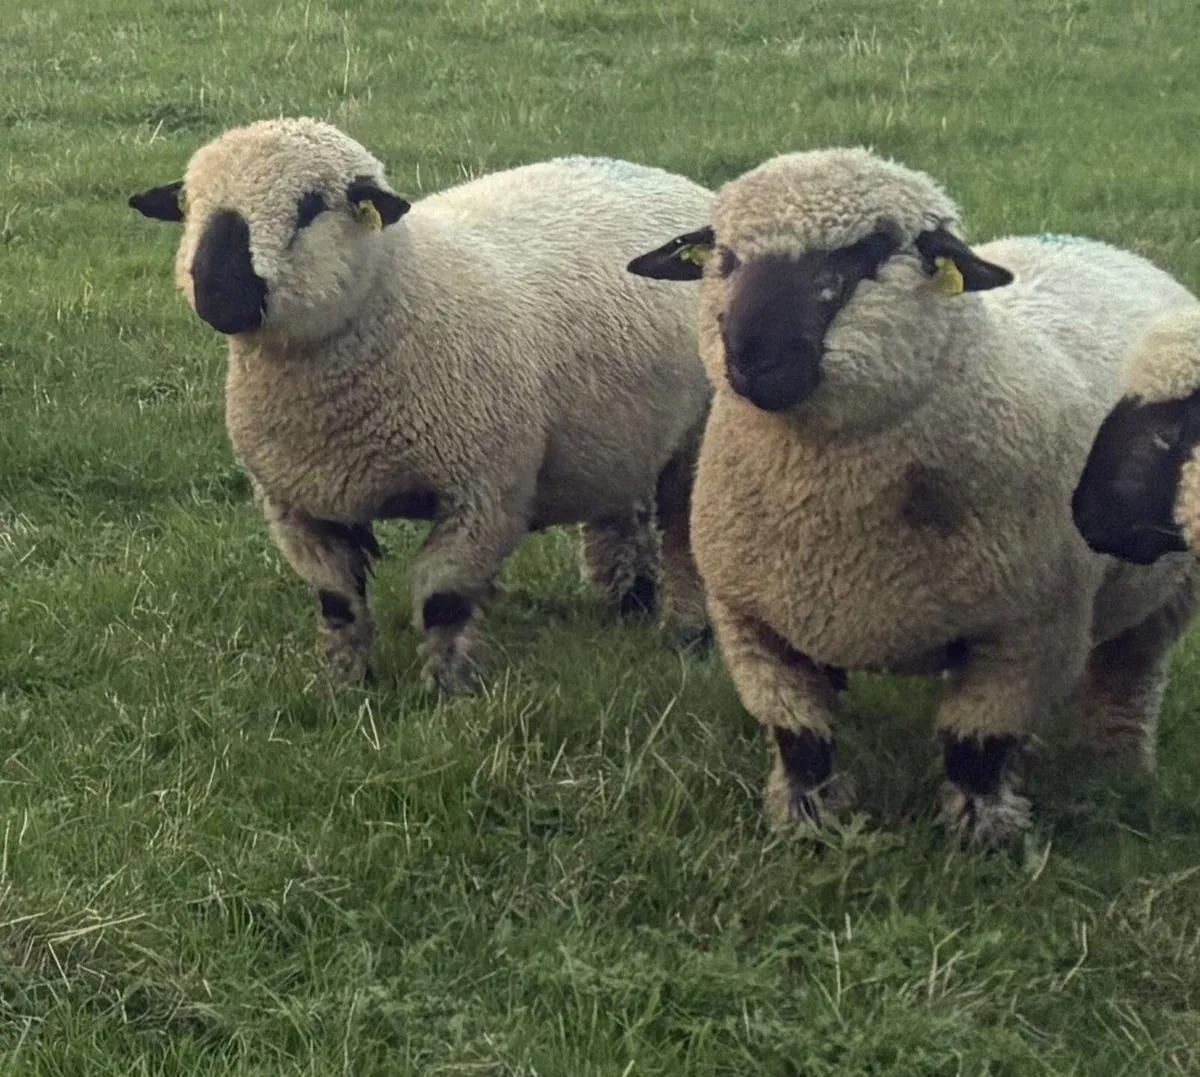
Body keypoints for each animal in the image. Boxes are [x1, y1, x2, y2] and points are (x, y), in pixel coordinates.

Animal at [128, 118, 713, 695]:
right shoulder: (296, 503)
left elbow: (443, 602)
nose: (217, 291)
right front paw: (345, 688)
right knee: (622, 516)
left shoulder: (482, 493)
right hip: (618, 435)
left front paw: (446, 693)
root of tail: (667, 178)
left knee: (684, 541)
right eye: (187, 205)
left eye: (310, 205)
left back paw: (686, 634)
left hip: (699, 441)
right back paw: (629, 603)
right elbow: (338, 603)